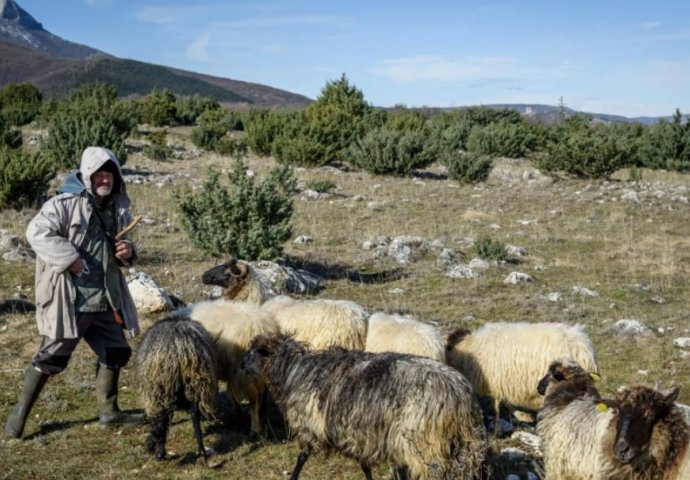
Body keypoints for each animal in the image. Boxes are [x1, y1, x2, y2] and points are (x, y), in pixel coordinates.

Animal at [135, 314, 218, 464]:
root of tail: (180, 345)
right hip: (195, 384)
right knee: (194, 416)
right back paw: (201, 452)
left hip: (159, 389)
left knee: (160, 422)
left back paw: (160, 453)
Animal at [183, 300, 282, 438]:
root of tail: (262, 327)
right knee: (263, 392)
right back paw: (261, 414)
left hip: (244, 372)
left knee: (253, 399)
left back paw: (254, 429)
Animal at [242, 334, 490, 480]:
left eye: (254, 352)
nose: (241, 365)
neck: (293, 371)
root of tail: (460, 395)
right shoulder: (358, 433)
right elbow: (365, 465)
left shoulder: (311, 425)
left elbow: (302, 457)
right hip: (460, 443)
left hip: (425, 443)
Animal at [444, 322, 600, 436]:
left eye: (447, 348)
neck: (471, 347)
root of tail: (586, 351)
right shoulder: (502, 383)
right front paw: (523, 416)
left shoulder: (495, 381)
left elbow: (497, 407)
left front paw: (497, 430)